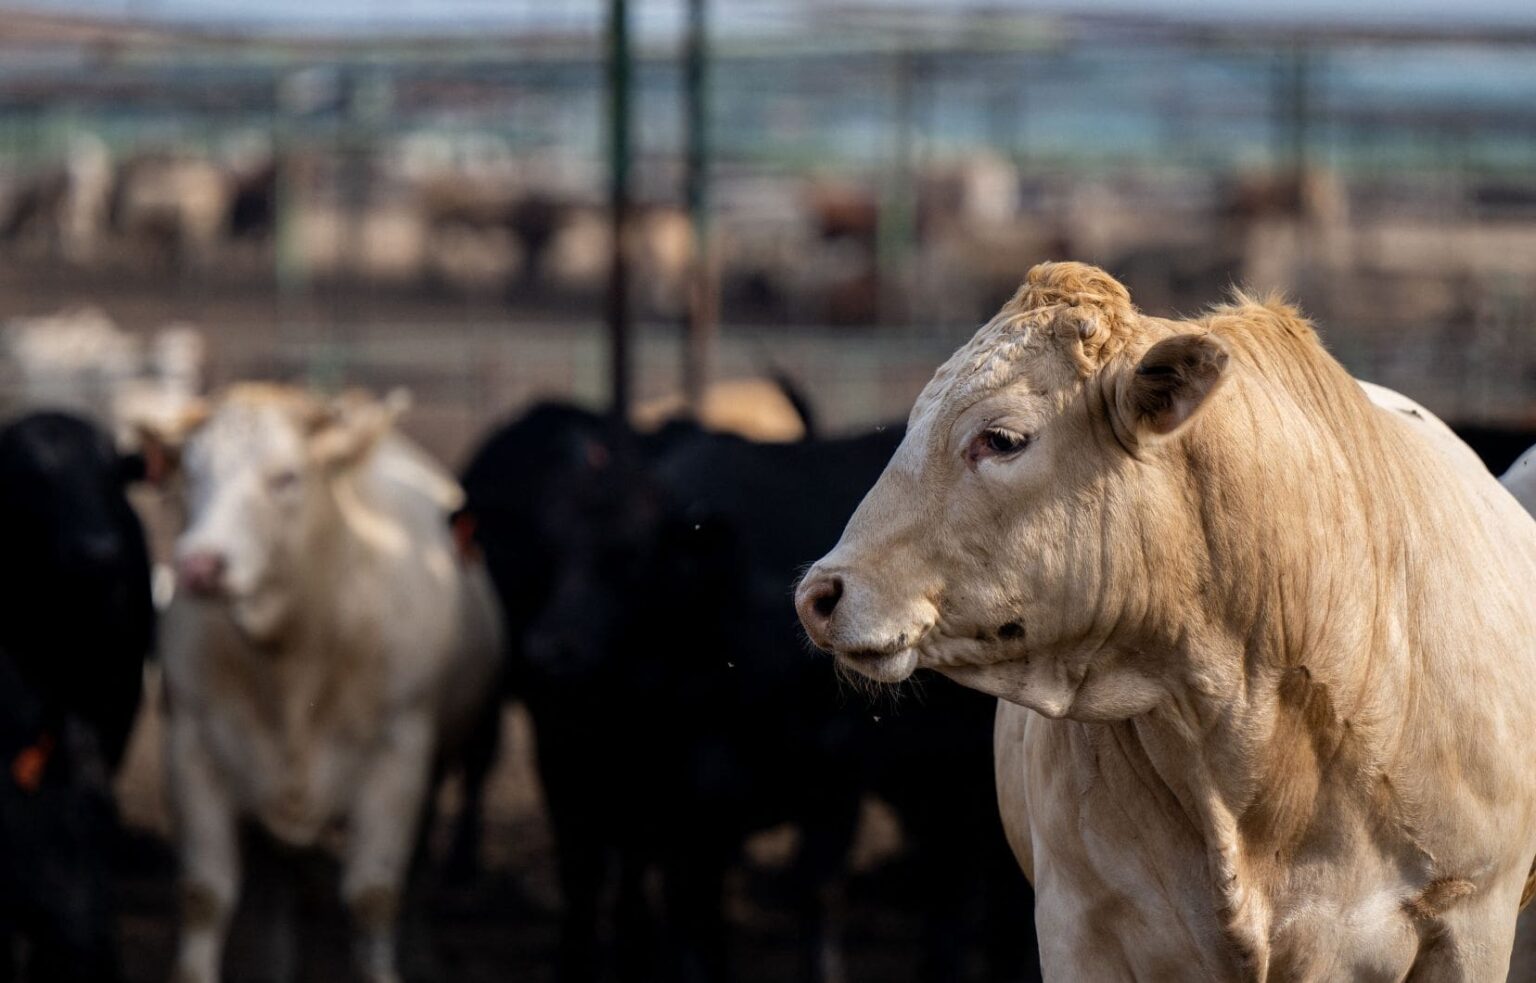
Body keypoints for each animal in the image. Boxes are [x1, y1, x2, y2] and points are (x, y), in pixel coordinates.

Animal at [144, 384, 501, 983]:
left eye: (286, 477)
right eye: (190, 474)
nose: (199, 565)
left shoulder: (399, 757)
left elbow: (373, 896)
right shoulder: (190, 746)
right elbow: (203, 895)